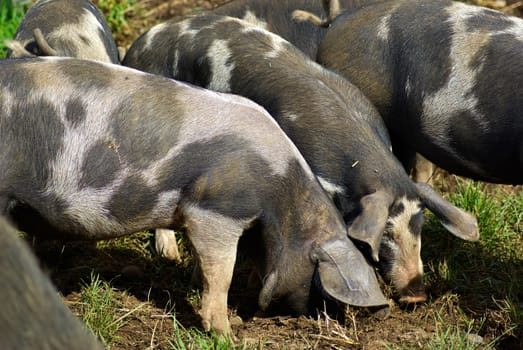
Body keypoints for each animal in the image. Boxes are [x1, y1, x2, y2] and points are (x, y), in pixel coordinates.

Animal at [0, 56, 388, 334]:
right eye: (319, 281)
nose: (313, 317)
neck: (280, 194)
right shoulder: (216, 211)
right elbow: (222, 272)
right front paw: (227, 333)